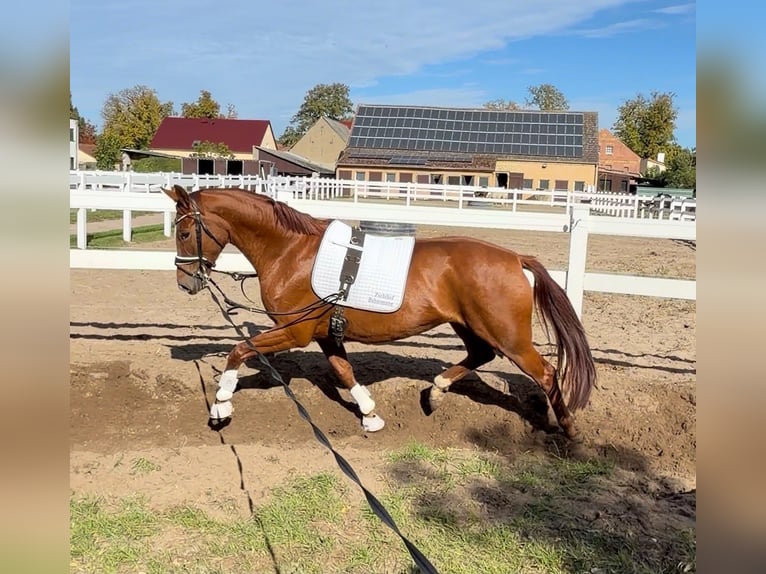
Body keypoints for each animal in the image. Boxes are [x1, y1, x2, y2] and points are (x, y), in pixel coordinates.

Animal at [163, 185, 596, 440]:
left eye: (183, 232)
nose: (185, 282)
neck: (290, 251)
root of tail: (514, 258)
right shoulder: (325, 334)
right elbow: (343, 371)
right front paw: (370, 414)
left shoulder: (294, 332)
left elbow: (239, 349)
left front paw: (221, 405)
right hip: (468, 325)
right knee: (480, 355)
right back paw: (435, 391)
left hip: (509, 337)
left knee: (546, 373)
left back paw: (570, 432)